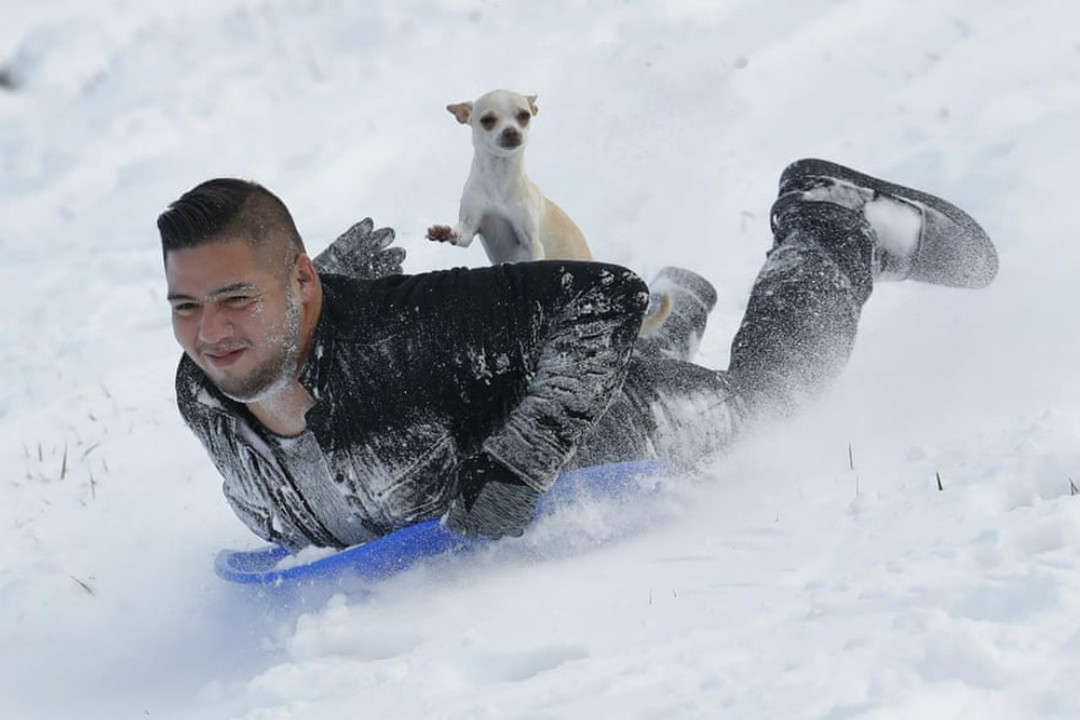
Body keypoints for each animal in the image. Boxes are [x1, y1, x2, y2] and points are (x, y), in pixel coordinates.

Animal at [423, 89, 591, 264]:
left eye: (524, 115)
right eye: (487, 120)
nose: (510, 131)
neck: (499, 175)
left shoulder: (532, 242)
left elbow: (534, 254)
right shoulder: (468, 229)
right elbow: (460, 233)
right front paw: (444, 232)